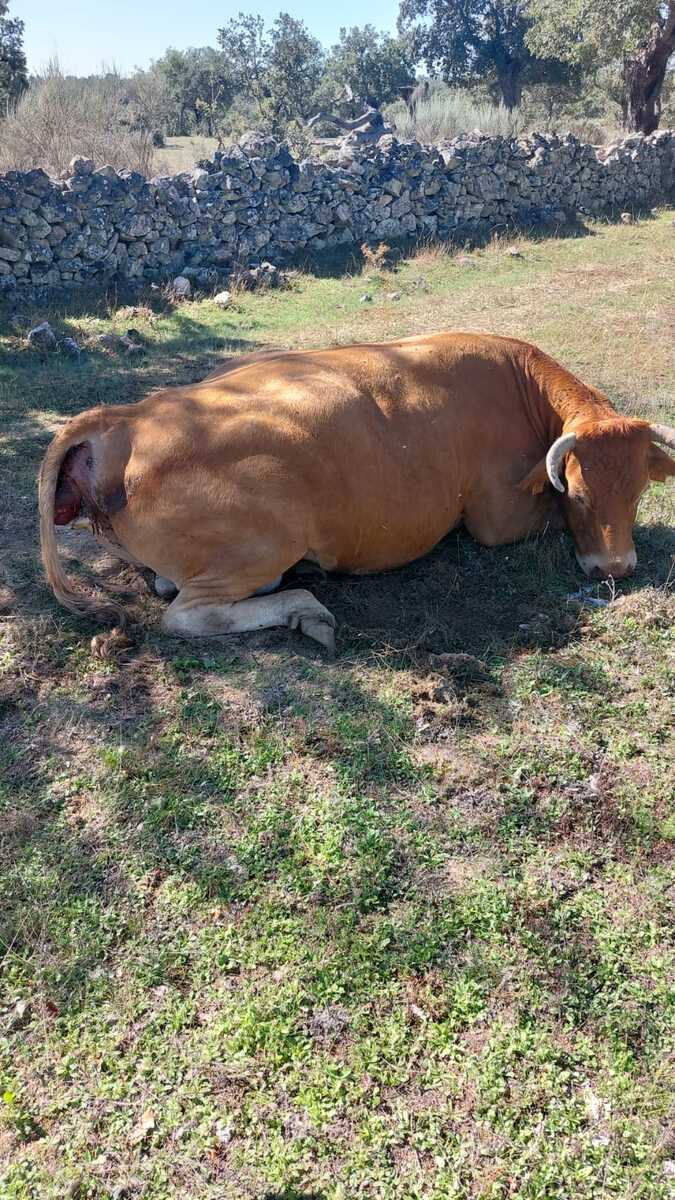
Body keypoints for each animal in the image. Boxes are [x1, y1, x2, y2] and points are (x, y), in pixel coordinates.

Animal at [39, 332, 675, 654]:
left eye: (640, 491)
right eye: (579, 493)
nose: (615, 568)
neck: (519, 387)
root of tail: (127, 417)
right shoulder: (494, 519)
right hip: (265, 539)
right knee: (187, 616)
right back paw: (304, 609)